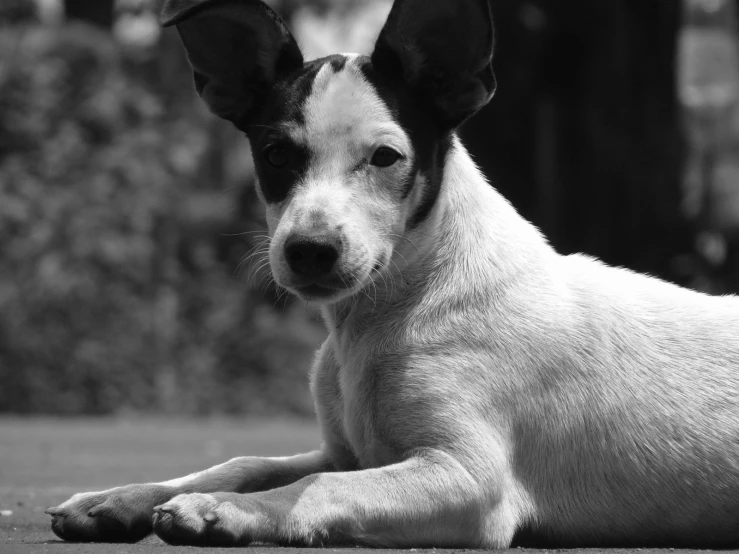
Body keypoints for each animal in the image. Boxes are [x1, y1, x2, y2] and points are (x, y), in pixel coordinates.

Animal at [46, 0, 739, 544]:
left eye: (385, 157)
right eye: (275, 154)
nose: (310, 250)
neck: (385, 316)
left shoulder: (469, 480)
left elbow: (319, 487)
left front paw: (222, 511)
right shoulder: (343, 450)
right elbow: (244, 461)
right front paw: (127, 496)